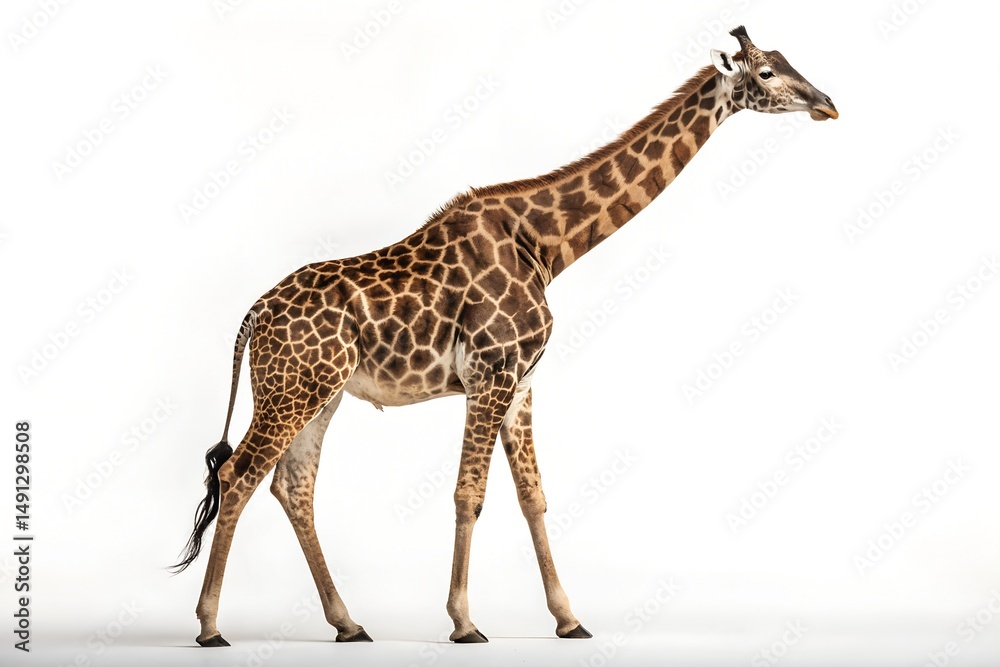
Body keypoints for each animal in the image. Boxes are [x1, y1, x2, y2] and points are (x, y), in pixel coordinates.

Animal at [172, 26, 837, 646]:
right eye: (768, 72)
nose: (828, 104)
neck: (545, 245)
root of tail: (254, 316)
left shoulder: (521, 382)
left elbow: (532, 496)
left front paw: (569, 619)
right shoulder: (490, 374)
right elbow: (470, 494)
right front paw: (464, 622)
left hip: (320, 393)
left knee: (293, 486)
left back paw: (348, 623)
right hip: (292, 390)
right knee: (238, 478)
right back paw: (209, 626)